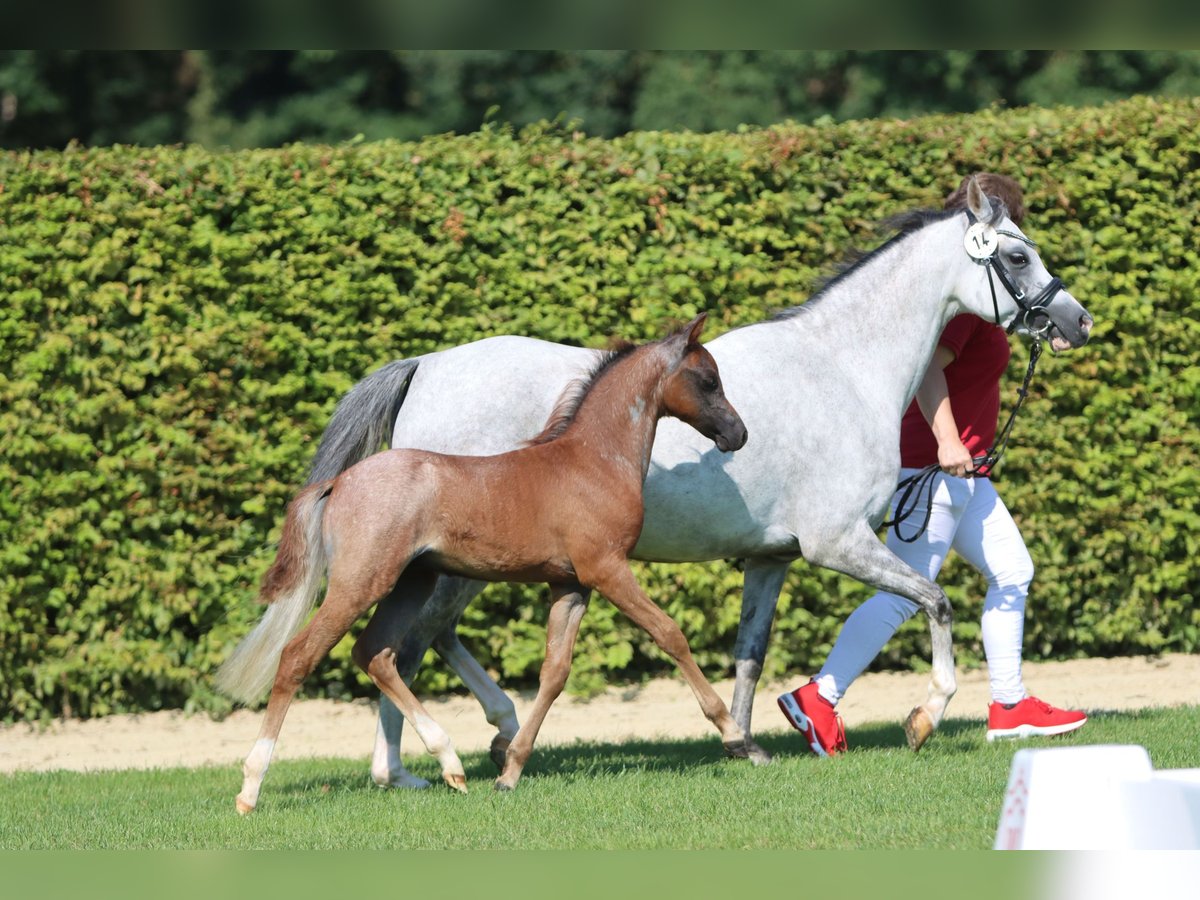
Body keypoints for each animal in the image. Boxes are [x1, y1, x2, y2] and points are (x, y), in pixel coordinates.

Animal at [216, 314, 758, 816]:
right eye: (708, 379)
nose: (738, 434)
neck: (592, 461)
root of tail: (339, 483)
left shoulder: (570, 585)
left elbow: (554, 672)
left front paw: (510, 770)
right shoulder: (607, 569)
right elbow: (670, 634)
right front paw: (736, 737)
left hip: (412, 582)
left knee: (376, 652)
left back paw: (450, 764)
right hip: (361, 583)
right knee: (299, 656)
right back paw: (250, 788)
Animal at [297, 177, 1089, 787]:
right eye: (1016, 253)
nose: (1076, 320)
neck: (840, 369)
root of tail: (426, 366)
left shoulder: (771, 559)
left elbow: (750, 654)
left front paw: (745, 741)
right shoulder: (838, 544)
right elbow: (936, 600)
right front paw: (925, 717)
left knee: (416, 640)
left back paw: (463, 748)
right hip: (449, 566)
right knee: (407, 643)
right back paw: (420, 765)